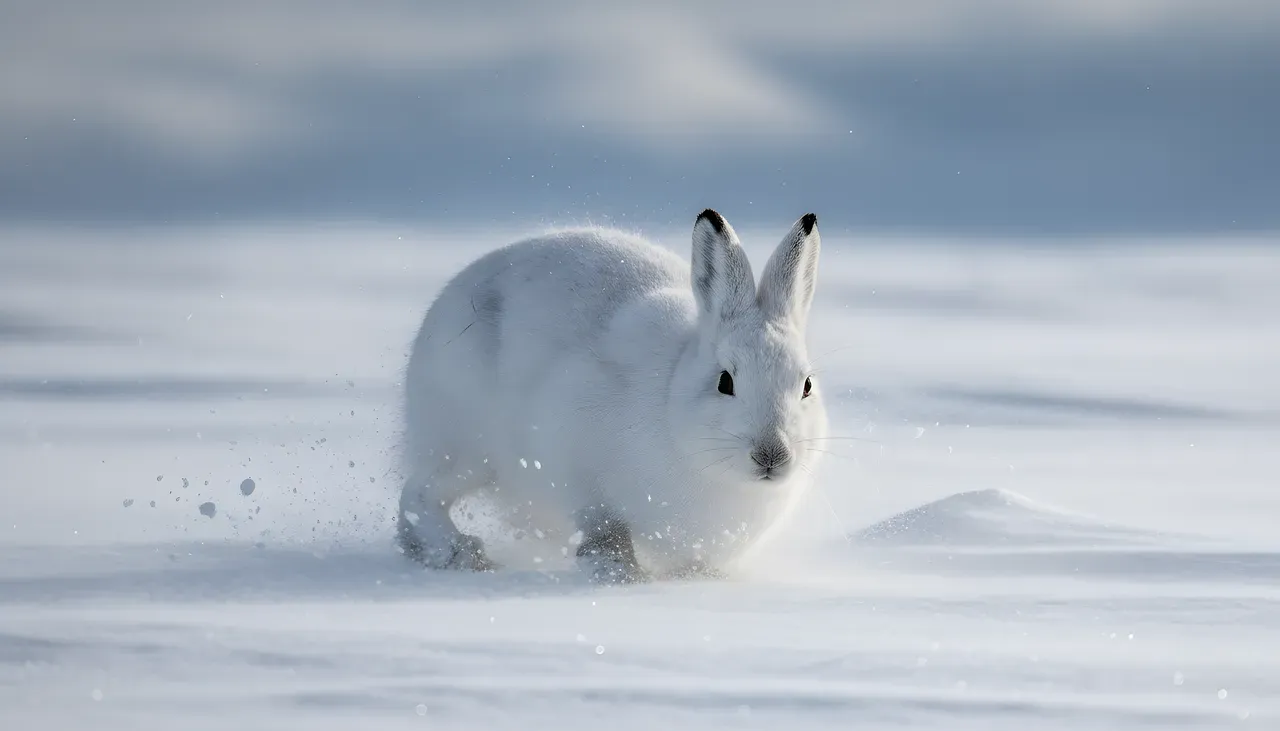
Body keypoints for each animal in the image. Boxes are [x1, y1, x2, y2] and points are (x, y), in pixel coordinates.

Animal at [396, 208, 828, 583]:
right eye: (725, 382)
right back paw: (461, 554)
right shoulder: (574, 456)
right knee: (418, 496)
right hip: (468, 448)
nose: (772, 455)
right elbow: (604, 531)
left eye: (806, 385)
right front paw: (619, 572)